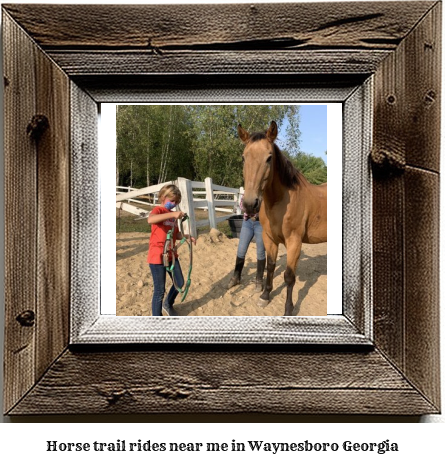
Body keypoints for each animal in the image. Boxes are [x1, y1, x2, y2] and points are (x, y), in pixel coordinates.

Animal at [239, 120, 326, 316]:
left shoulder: (294, 242)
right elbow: (270, 266)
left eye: (269, 158)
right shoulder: (269, 238)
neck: (281, 201)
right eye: (243, 158)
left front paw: (288, 309)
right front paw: (265, 296)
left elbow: (289, 276)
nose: (249, 204)